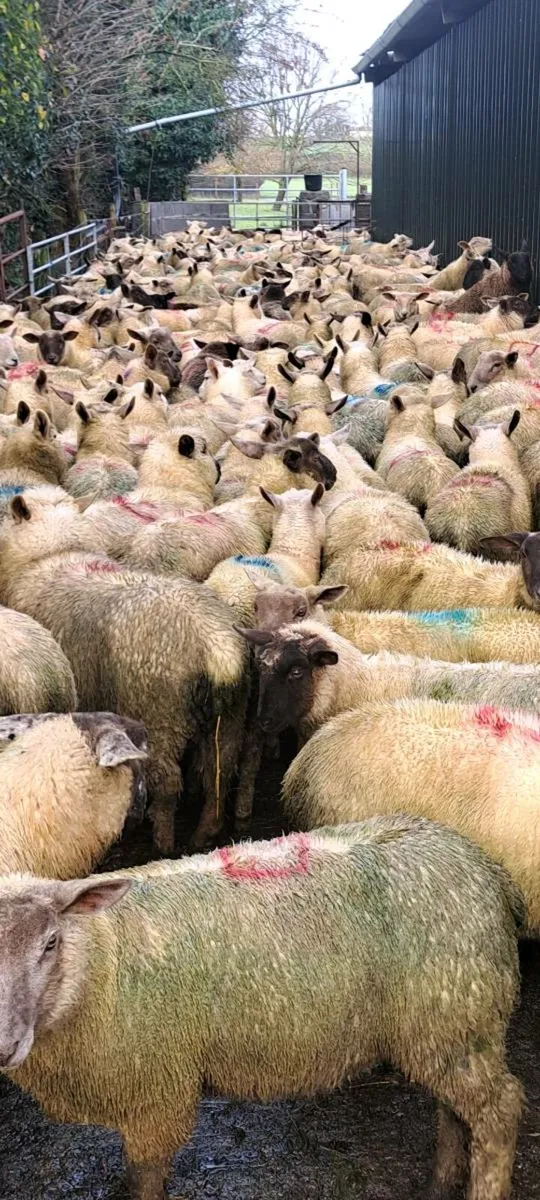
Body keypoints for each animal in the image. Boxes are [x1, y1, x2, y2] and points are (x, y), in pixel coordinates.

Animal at [0, 492, 248, 855]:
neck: (50, 554)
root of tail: (216, 644)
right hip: (228, 716)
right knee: (220, 772)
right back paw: (205, 832)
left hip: (160, 714)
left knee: (168, 782)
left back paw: (163, 841)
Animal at [2, 815, 523, 1200]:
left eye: (51, 942)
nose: (5, 1045)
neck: (101, 963)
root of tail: (486, 866)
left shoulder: (156, 1096)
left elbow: (143, 1180)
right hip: (447, 1025)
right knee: (453, 1110)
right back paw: (439, 1184)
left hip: (460, 1013)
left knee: (499, 1114)